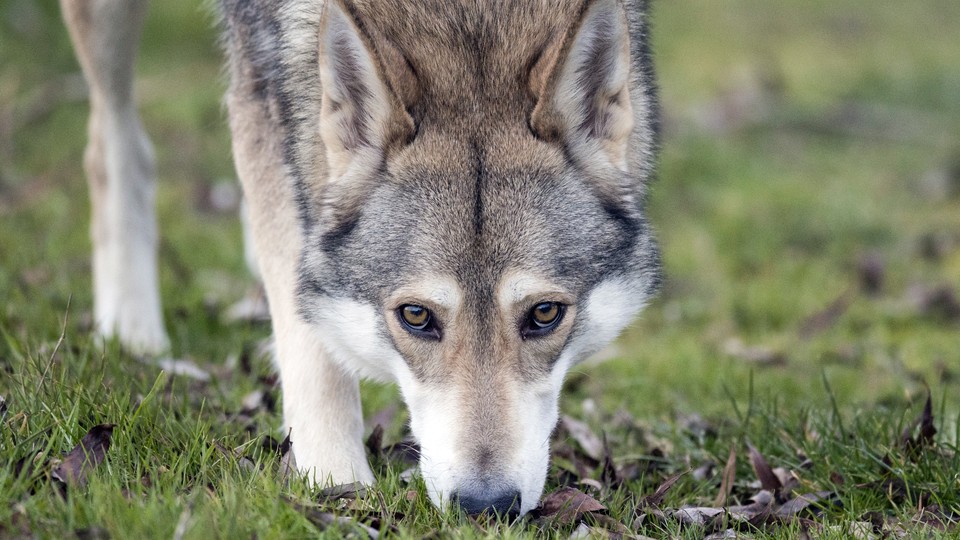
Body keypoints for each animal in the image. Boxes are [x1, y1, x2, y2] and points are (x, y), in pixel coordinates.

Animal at [60, 0, 660, 516]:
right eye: (416, 317)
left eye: (544, 315)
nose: (484, 506)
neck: (467, 14)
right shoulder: (260, 88)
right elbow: (311, 341)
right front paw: (336, 483)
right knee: (112, 142)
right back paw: (131, 329)